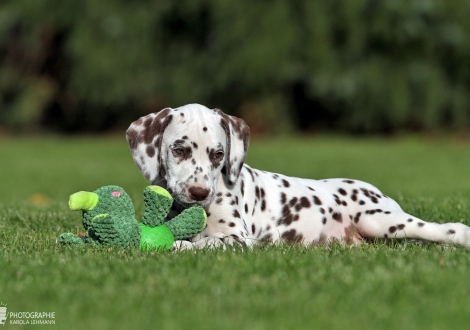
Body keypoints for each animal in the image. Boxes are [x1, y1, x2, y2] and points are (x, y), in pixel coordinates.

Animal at [126, 103, 470, 248]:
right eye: (179, 150)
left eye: (218, 155)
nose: (200, 193)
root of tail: (378, 193)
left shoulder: (239, 239)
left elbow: (208, 243)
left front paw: (182, 246)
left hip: (379, 220)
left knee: (444, 229)